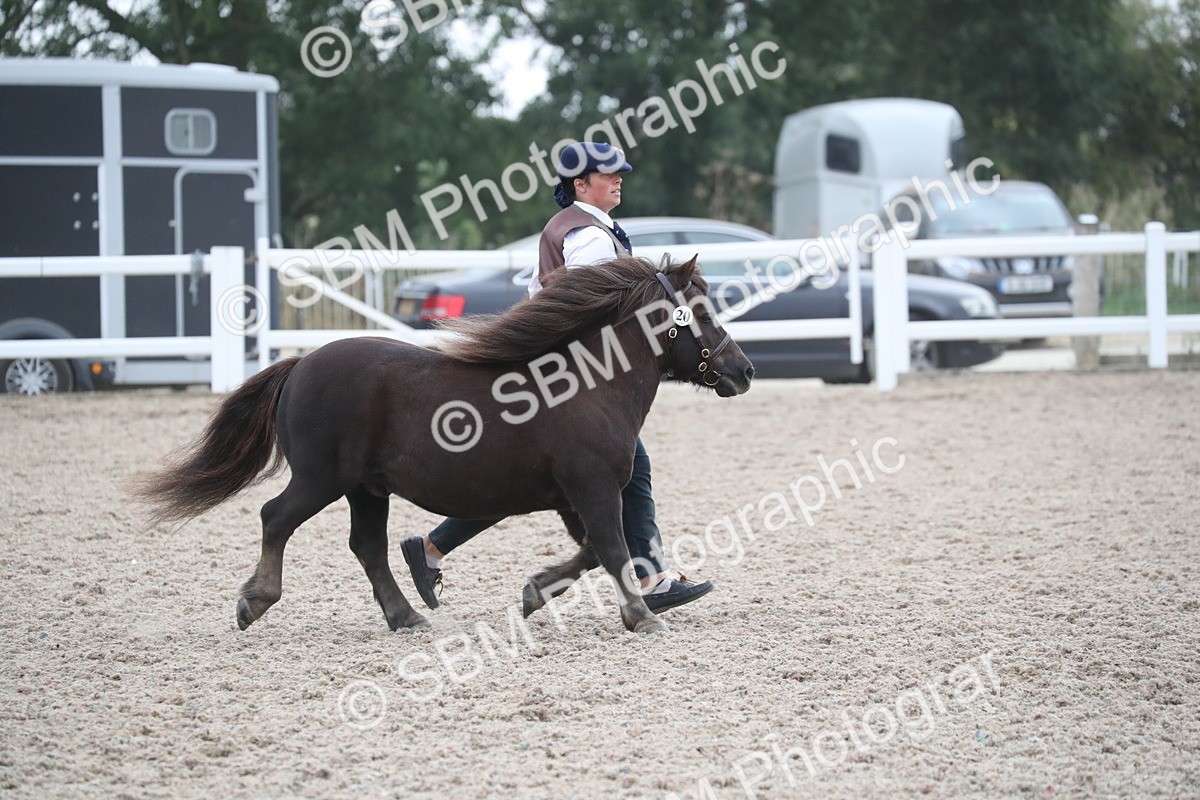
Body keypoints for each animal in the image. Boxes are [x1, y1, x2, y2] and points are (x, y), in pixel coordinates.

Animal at [134, 254, 754, 634]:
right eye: (701, 310)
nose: (743, 370)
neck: (586, 384)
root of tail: (301, 364)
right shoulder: (595, 488)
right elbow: (615, 550)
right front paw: (643, 616)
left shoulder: (571, 497)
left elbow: (589, 553)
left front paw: (535, 592)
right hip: (321, 480)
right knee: (275, 517)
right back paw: (256, 599)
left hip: (366, 489)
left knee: (367, 547)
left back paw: (407, 615)